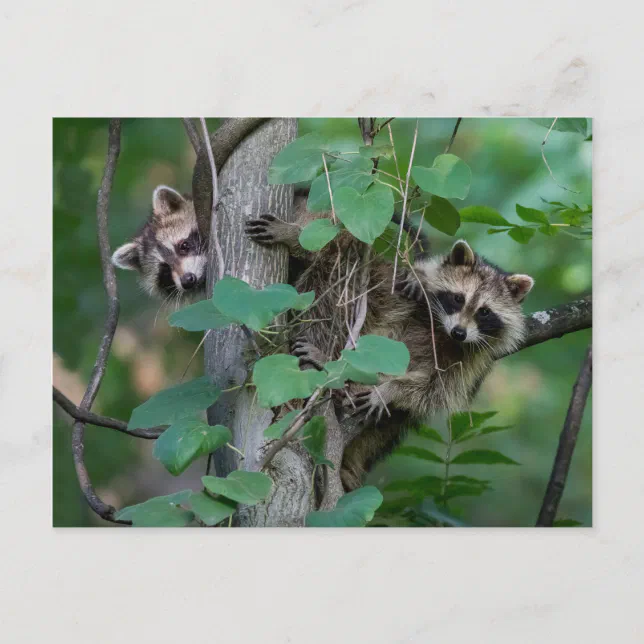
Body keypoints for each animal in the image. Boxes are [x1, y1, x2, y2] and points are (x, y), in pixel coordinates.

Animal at [245, 204, 534, 490]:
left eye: (484, 312)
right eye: (457, 298)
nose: (460, 332)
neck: (440, 328)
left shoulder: (472, 359)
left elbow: (432, 387)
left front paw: (389, 390)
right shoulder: (401, 287)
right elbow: (356, 258)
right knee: (337, 275)